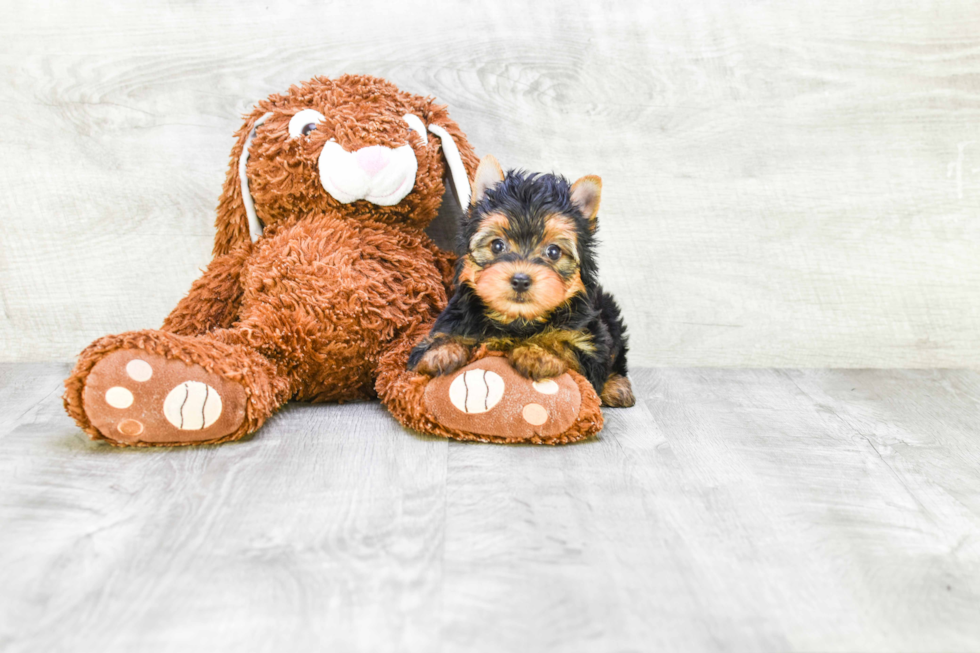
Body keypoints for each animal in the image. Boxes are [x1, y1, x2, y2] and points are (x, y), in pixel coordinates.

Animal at [408, 155, 632, 404]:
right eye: (497, 245)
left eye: (553, 252)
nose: (521, 280)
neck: (518, 320)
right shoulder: (452, 320)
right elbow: (441, 338)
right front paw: (441, 351)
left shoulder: (591, 347)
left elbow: (567, 347)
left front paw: (536, 354)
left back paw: (617, 386)